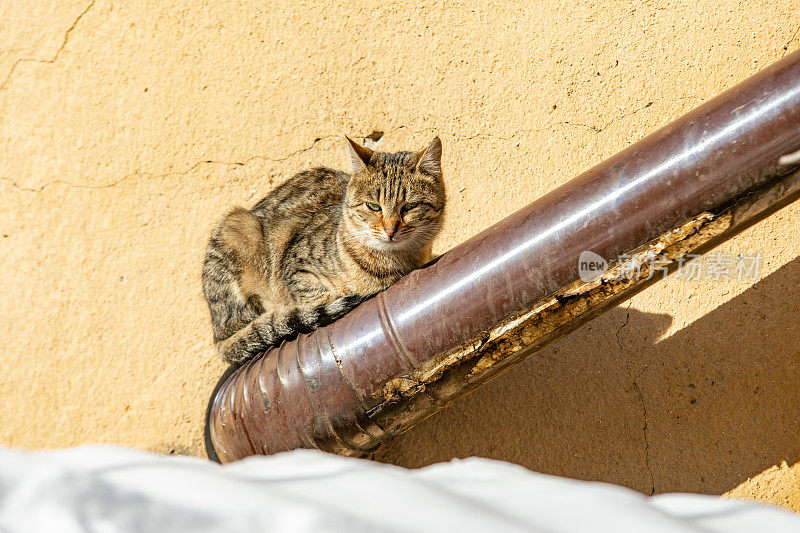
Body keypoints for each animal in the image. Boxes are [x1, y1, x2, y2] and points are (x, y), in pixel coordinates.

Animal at [202, 135, 444, 364]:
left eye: (410, 206)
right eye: (373, 206)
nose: (390, 230)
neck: (394, 262)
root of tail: (217, 332)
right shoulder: (295, 266)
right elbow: (316, 296)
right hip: (237, 226)